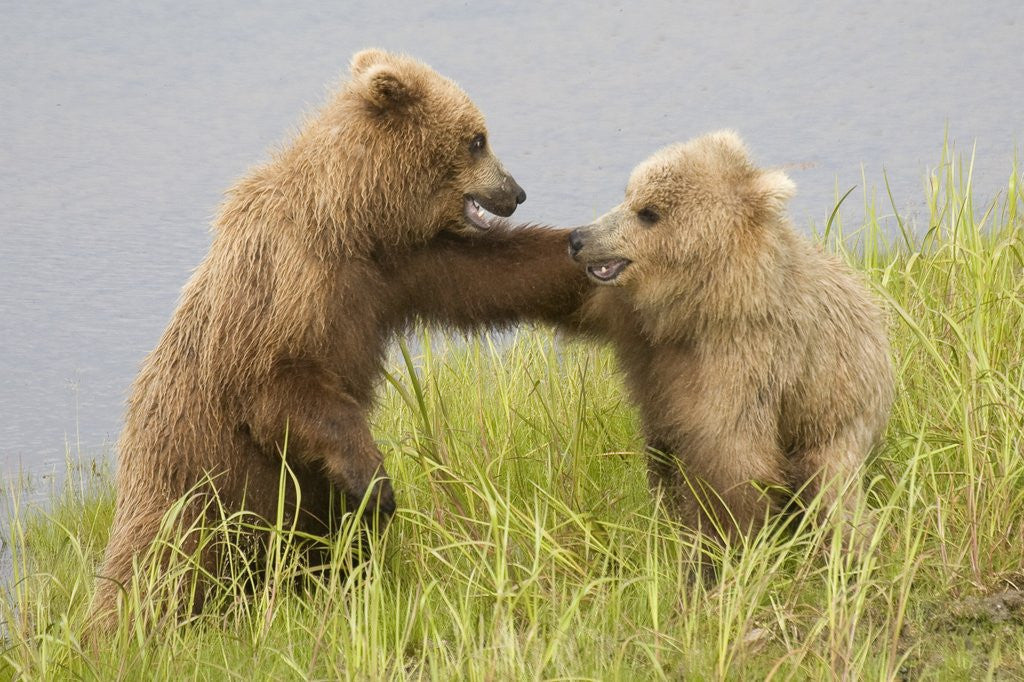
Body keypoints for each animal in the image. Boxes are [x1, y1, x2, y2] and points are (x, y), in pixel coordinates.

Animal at [87, 49, 589, 632]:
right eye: (477, 139)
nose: (515, 192)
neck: (351, 220)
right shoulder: (285, 285)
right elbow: (281, 385)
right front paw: (376, 480)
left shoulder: (398, 269)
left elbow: (495, 275)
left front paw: (591, 248)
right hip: (194, 484)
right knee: (161, 568)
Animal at [567, 131, 893, 564]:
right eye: (628, 194)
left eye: (648, 212)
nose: (578, 237)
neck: (708, 305)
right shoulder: (645, 333)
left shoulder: (747, 360)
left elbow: (734, 454)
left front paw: (725, 543)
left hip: (834, 415)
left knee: (832, 494)